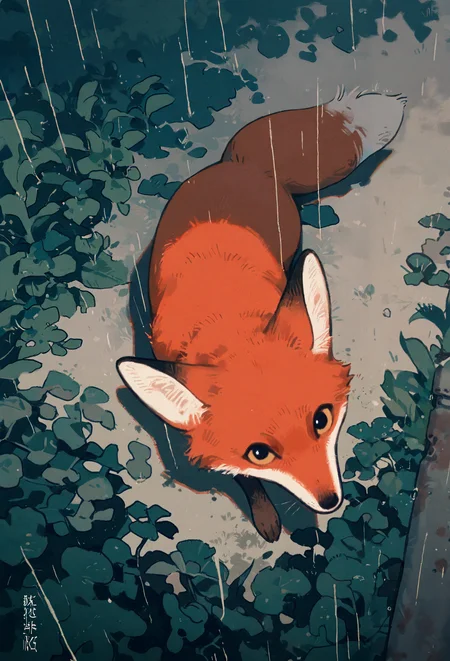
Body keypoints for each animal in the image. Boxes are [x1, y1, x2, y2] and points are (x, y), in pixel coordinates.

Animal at [117, 88, 406, 542]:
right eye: (260, 452)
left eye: (322, 419)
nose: (330, 501)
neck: (227, 323)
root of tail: (239, 165)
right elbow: (246, 481)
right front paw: (266, 515)